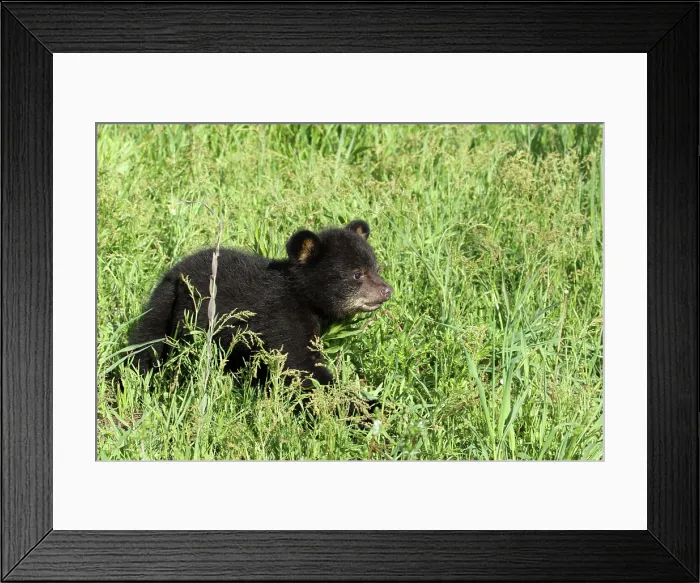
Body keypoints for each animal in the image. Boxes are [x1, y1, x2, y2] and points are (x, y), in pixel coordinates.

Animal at [127, 219, 392, 387]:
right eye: (356, 274)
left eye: (375, 267)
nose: (387, 290)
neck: (302, 296)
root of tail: (173, 270)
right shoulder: (282, 317)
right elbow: (299, 365)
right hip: (167, 304)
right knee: (147, 343)